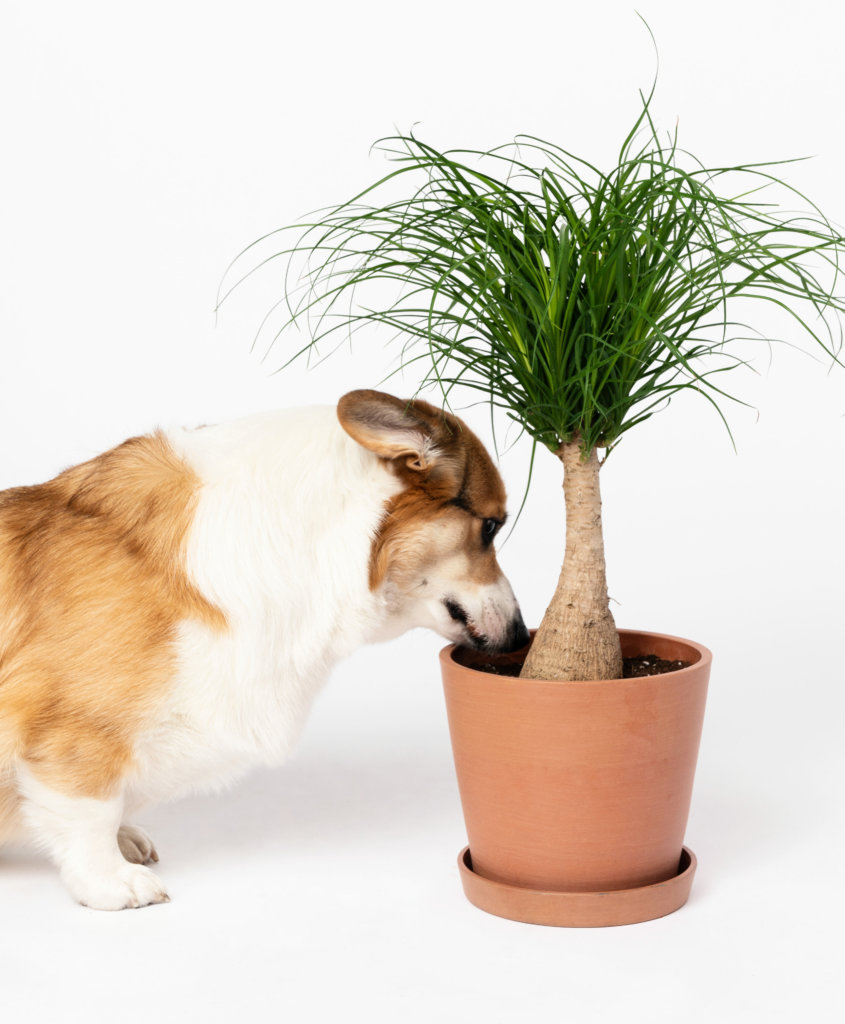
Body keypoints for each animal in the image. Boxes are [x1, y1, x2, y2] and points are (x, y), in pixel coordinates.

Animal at [0, 387, 524, 909]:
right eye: (491, 527)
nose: (522, 636)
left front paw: (123, 841)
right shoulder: (76, 730)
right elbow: (92, 810)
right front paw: (110, 880)